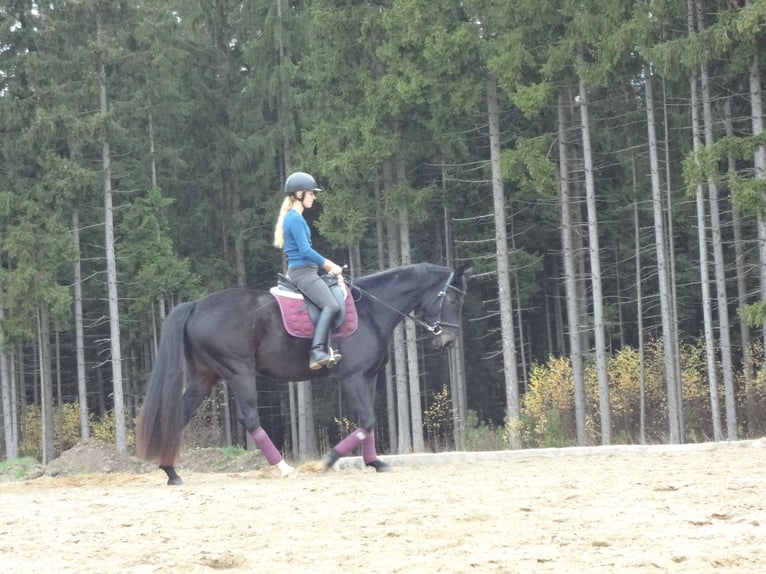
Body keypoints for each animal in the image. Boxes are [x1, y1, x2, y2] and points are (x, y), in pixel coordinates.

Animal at [136, 264, 472, 486]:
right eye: (453, 299)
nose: (448, 341)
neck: (371, 312)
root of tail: (196, 306)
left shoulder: (369, 376)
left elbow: (369, 423)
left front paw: (375, 461)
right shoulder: (352, 377)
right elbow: (366, 421)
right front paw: (331, 459)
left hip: (204, 377)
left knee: (180, 415)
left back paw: (171, 472)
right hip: (238, 370)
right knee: (250, 418)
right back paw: (283, 467)